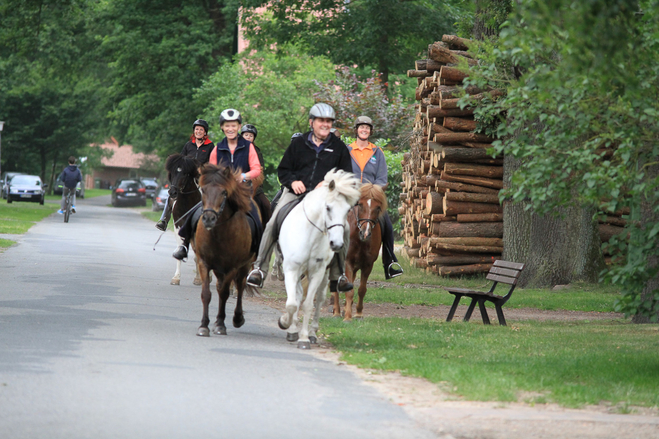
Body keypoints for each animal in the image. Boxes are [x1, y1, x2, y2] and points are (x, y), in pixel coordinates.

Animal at [191, 163, 258, 338]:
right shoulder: (204, 263)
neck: (218, 232)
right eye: (203, 190)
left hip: (244, 266)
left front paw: (221, 324)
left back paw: (237, 318)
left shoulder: (232, 267)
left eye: (223, 192)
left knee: (239, 287)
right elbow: (206, 294)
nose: (208, 218)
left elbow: (225, 293)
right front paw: (204, 326)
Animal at [278, 169, 360, 350]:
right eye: (328, 207)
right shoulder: (292, 269)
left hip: (325, 274)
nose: (336, 244)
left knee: (320, 299)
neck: (311, 234)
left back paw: (312, 333)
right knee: (297, 296)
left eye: (347, 210)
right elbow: (292, 303)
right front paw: (285, 323)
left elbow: (309, 304)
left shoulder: (317, 272)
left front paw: (304, 339)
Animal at [332, 183, 390, 324]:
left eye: (378, 207)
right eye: (360, 204)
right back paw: (336, 312)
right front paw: (348, 317)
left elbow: (361, 289)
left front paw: (358, 314)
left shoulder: (368, 264)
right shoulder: (347, 262)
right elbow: (349, 290)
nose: (365, 233)